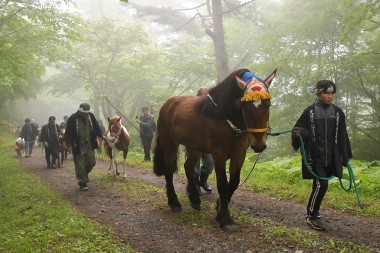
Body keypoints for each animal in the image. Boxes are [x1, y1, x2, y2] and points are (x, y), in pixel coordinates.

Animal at [154, 68, 276, 232]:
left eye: (268, 105)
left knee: (188, 167)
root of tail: (167, 105)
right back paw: (174, 202)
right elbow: (223, 185)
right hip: (170, 144)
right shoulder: (219, 154)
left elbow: (234, 183)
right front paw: (226, 219)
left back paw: (194, 199)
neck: (225, 117)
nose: (259, 145)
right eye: (246, 105)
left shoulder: (239, 154)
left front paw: (219, 209)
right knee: (169, 171)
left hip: (195, 147)